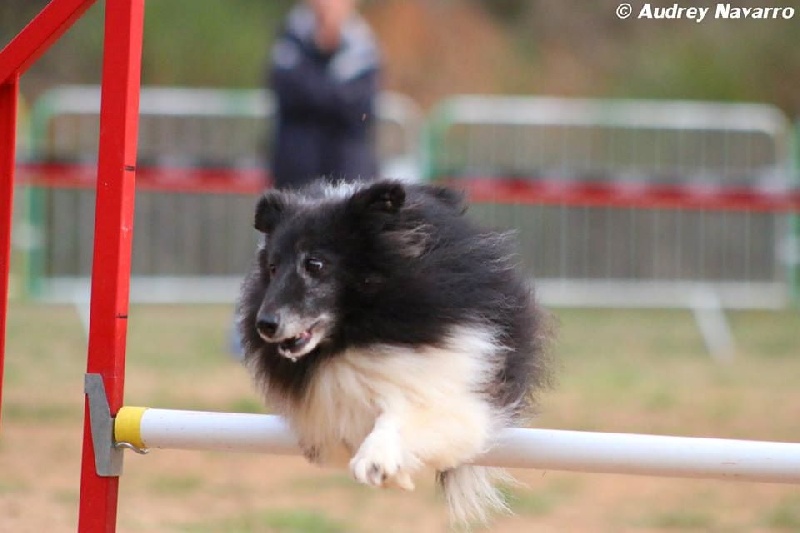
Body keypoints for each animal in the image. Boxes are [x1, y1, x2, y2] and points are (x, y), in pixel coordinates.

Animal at [234, 179, 552, 524]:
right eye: (272, 267)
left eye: (314, 264)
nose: (265, 325)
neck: (356, 334)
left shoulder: (455, 386)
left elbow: (406, 412)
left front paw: (376, 462)